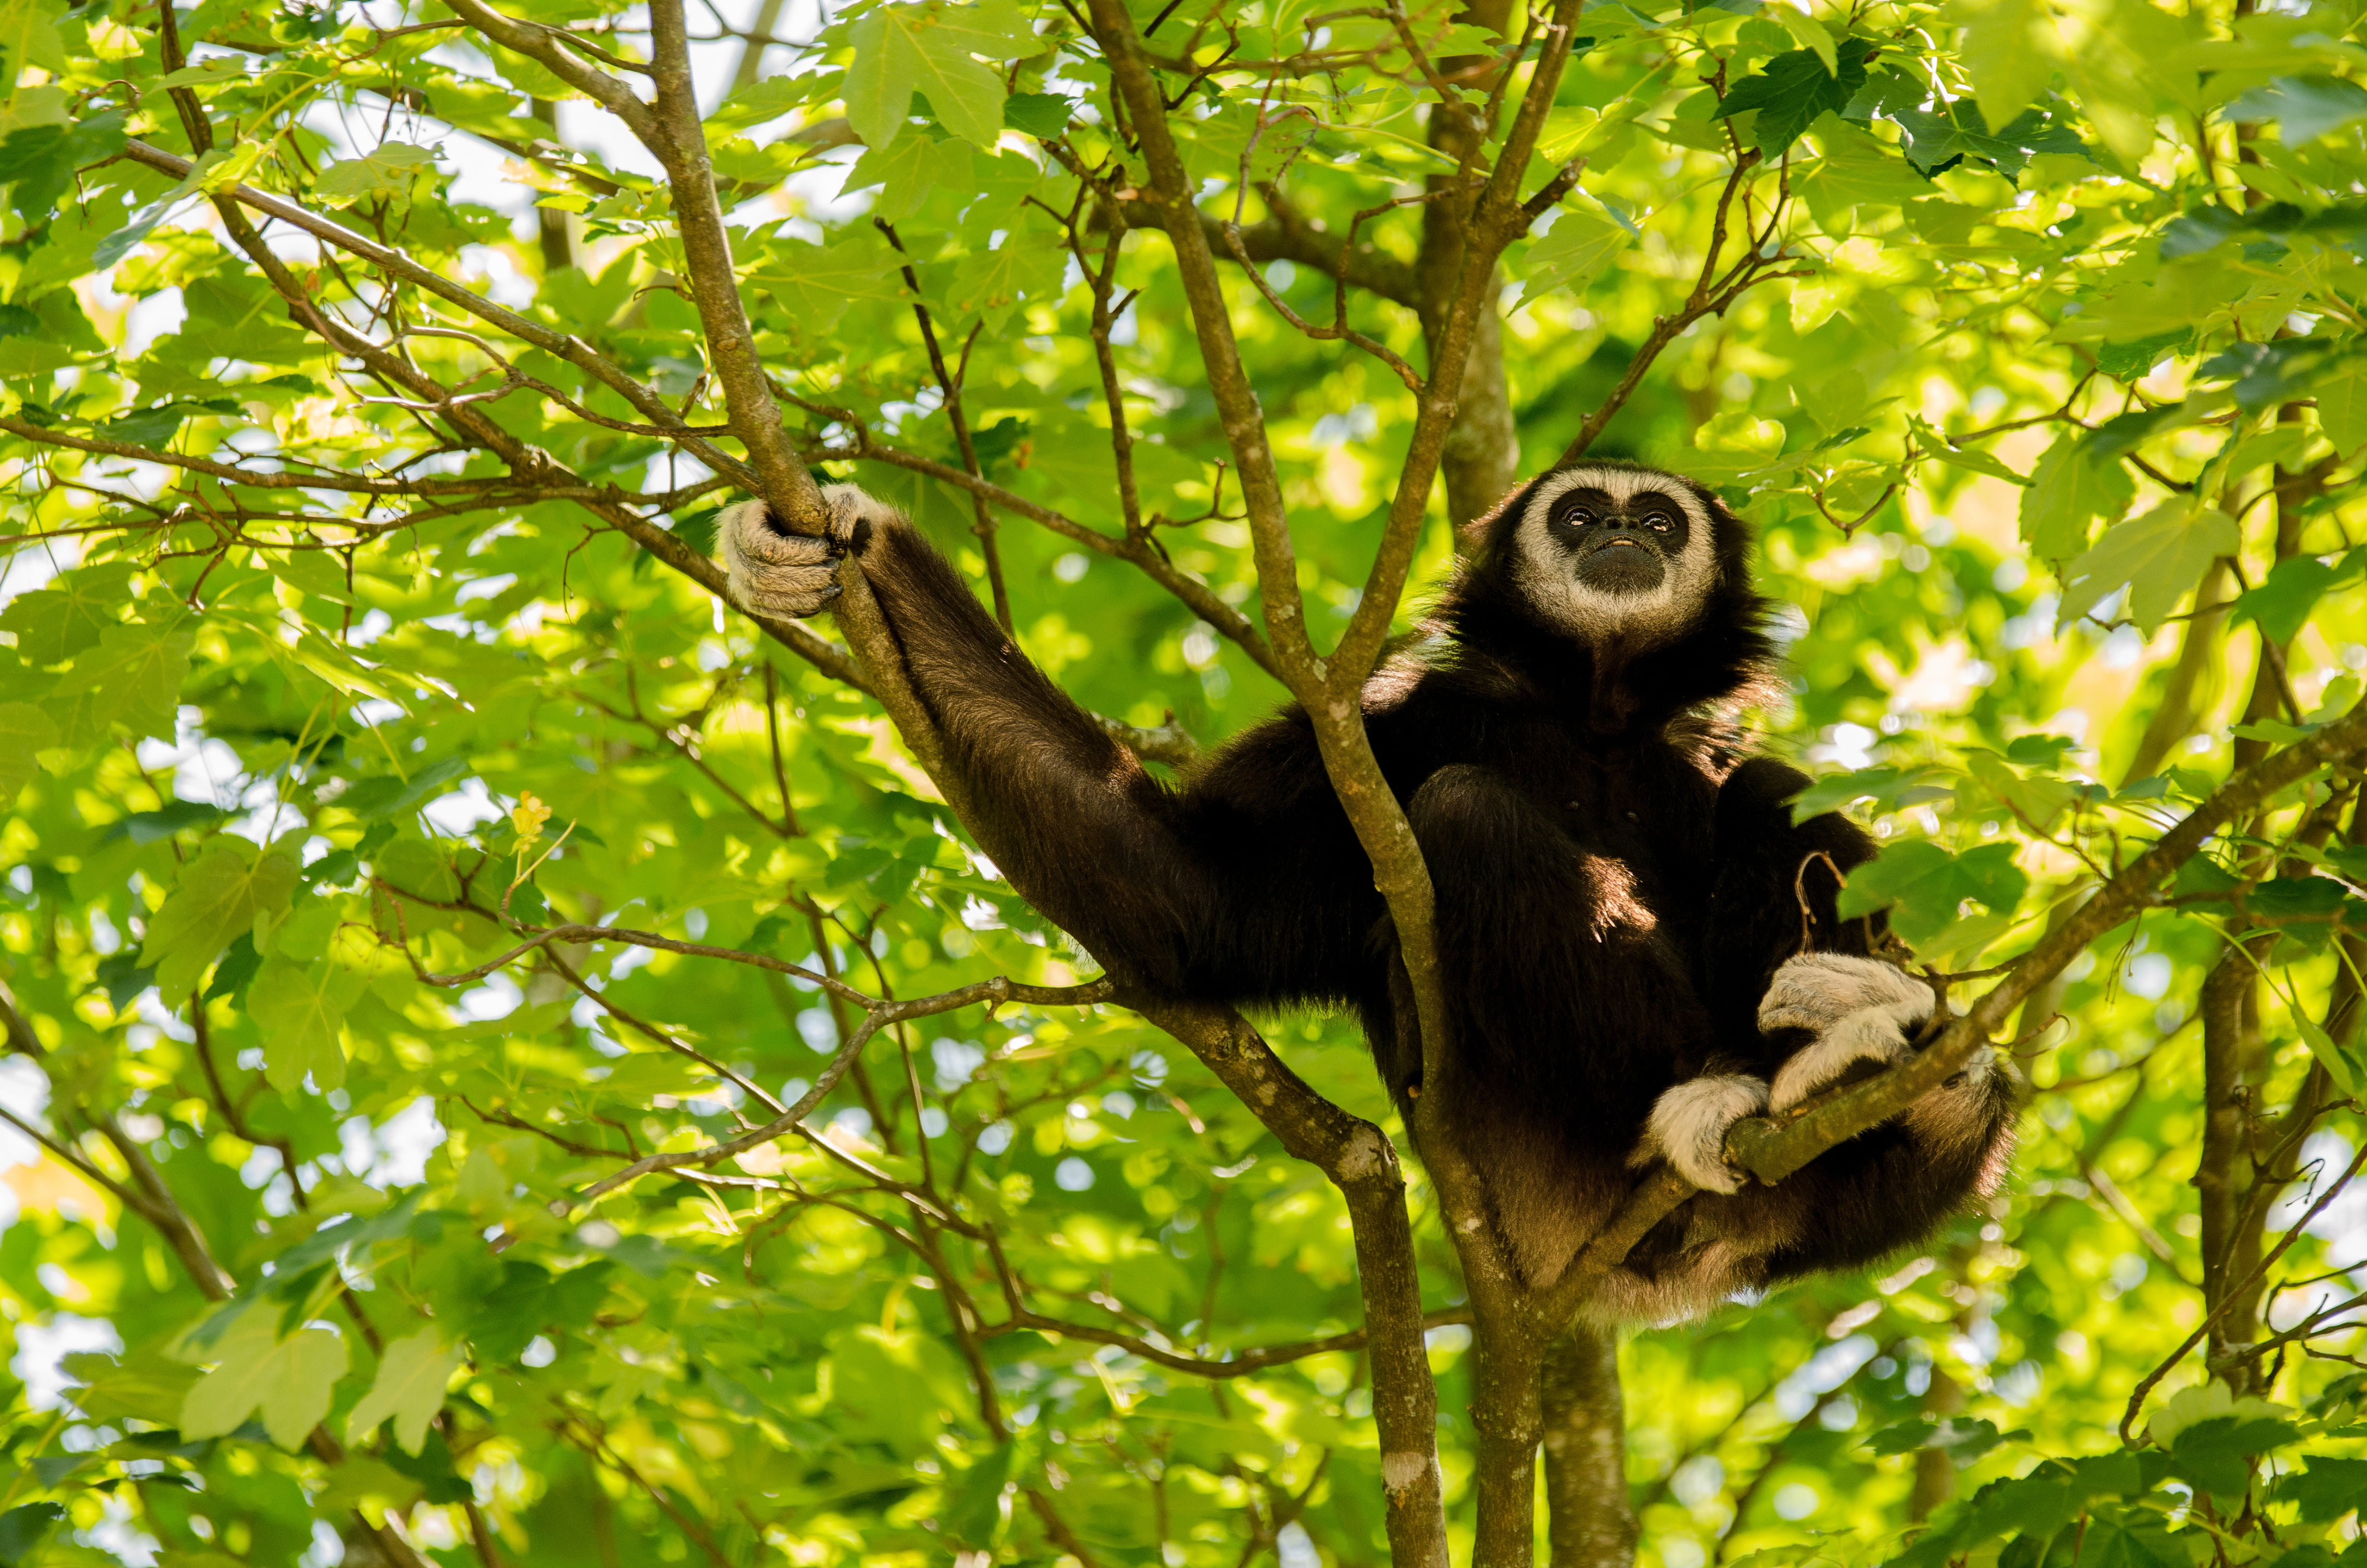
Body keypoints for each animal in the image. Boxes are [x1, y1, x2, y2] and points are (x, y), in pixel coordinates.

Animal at [716, 463, 2016, 1320]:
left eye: (1655, 518)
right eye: (1579, 513)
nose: (1617, 532)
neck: (1589, 712)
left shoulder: (1678, 733)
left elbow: (1761, 777)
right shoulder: (1385, 723)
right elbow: (1197, 897)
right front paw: (853, 541)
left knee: (1772, 789)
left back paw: (1875, 1062)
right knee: (1467, 815)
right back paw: (1720, 1087)